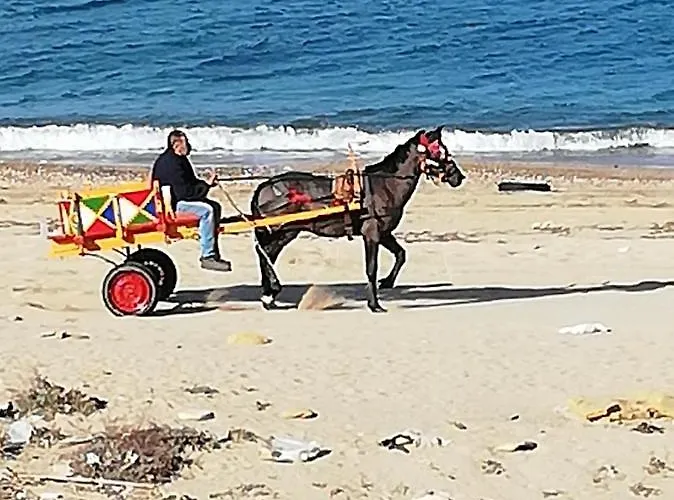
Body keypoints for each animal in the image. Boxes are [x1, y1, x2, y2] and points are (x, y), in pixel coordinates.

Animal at [248, 126, 465, 312]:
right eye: (439, 151)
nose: (459, 176)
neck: (384, 185)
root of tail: (265, 186)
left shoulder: (384, 233)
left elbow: (401, 254)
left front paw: (387, 282)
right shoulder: (372, 233)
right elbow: (371, 268)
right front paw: (374, 304)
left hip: (286, 232)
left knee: (267, 254)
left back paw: (269, 295)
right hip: (283, 230)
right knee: (264, 253)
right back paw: (271, 290)